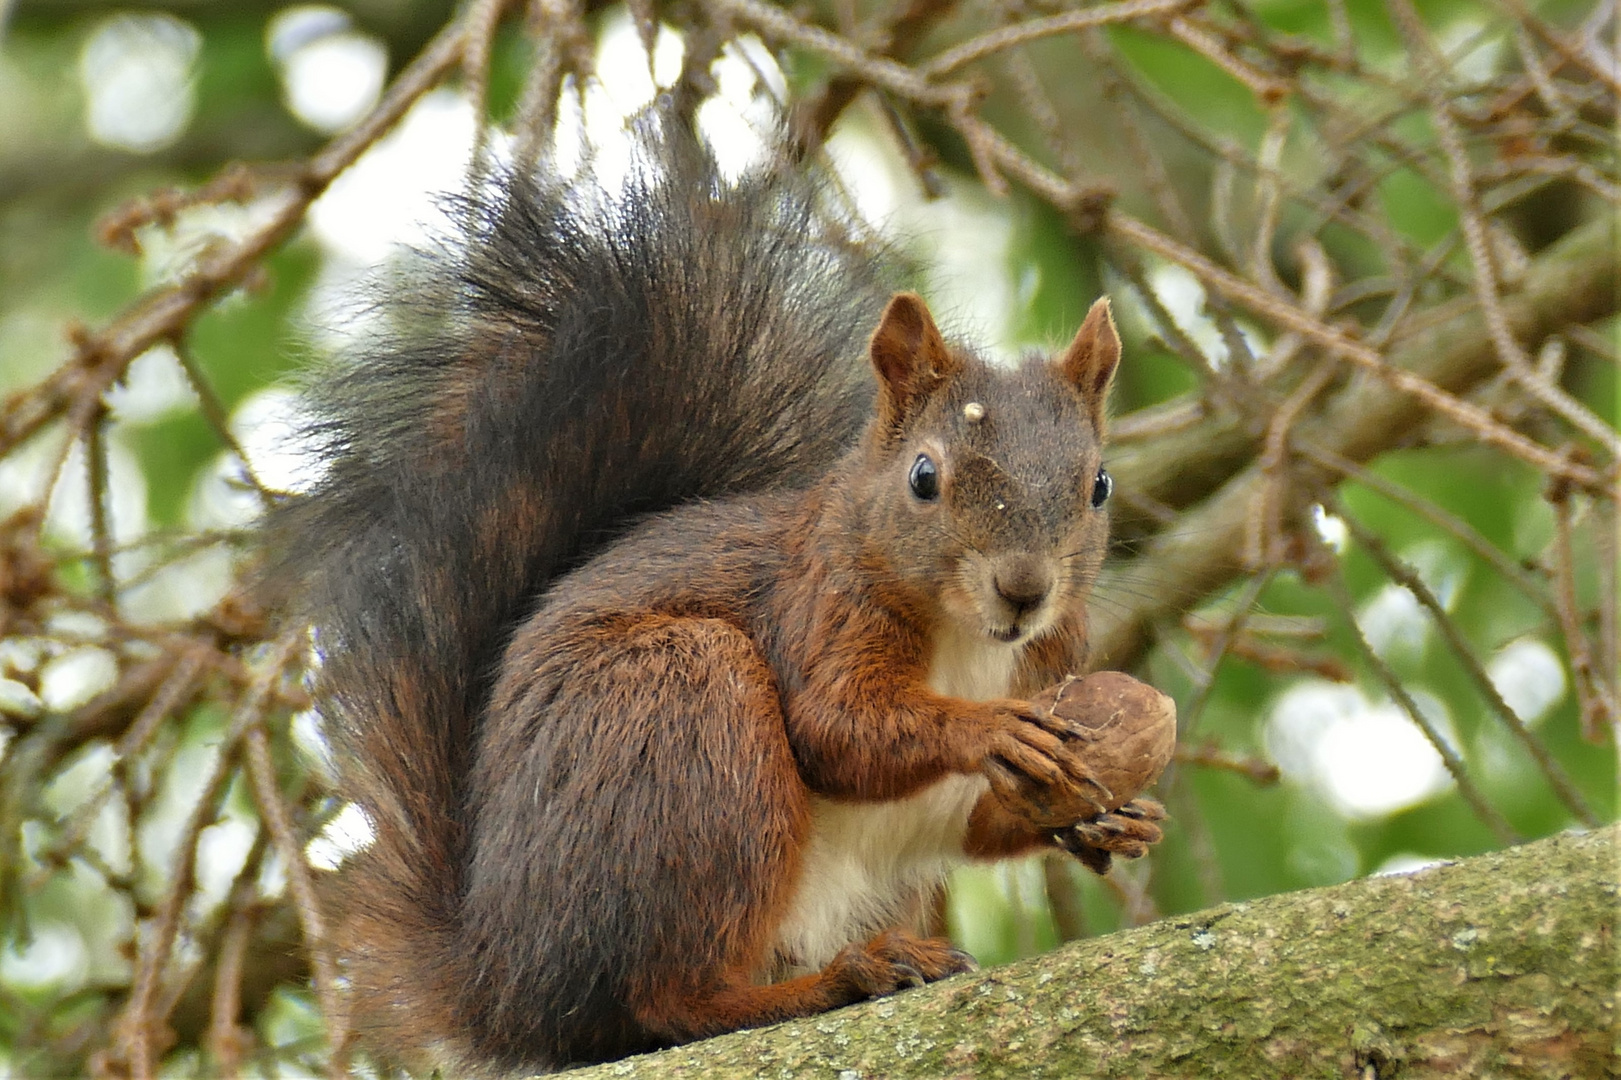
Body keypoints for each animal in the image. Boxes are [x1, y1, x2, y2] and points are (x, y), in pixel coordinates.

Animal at [278, 117, 1167, 1070]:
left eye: (1099, 485)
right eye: (924, 477)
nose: (1023, 591)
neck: (970, 643)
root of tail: (505, 986)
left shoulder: (1050, 661)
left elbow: (979, 819)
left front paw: (1112, 820)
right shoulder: (817, 606)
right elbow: (836, 727)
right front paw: (987, 729)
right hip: (683, 720)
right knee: (667, 1002)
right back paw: (832, 983)